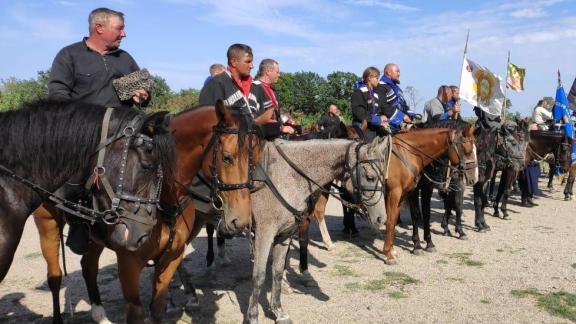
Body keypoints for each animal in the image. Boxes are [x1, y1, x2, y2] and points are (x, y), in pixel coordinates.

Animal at [36, 102, 274, 324]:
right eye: (226, 157)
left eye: (256, 158)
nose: (240, 220)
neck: (163, 198)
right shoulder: (129, 265)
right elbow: (136, 315)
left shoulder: (171, 257)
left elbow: (158, 308)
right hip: (47, 225)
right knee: (55, 277)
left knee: (88, 266)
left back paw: (99, 314)